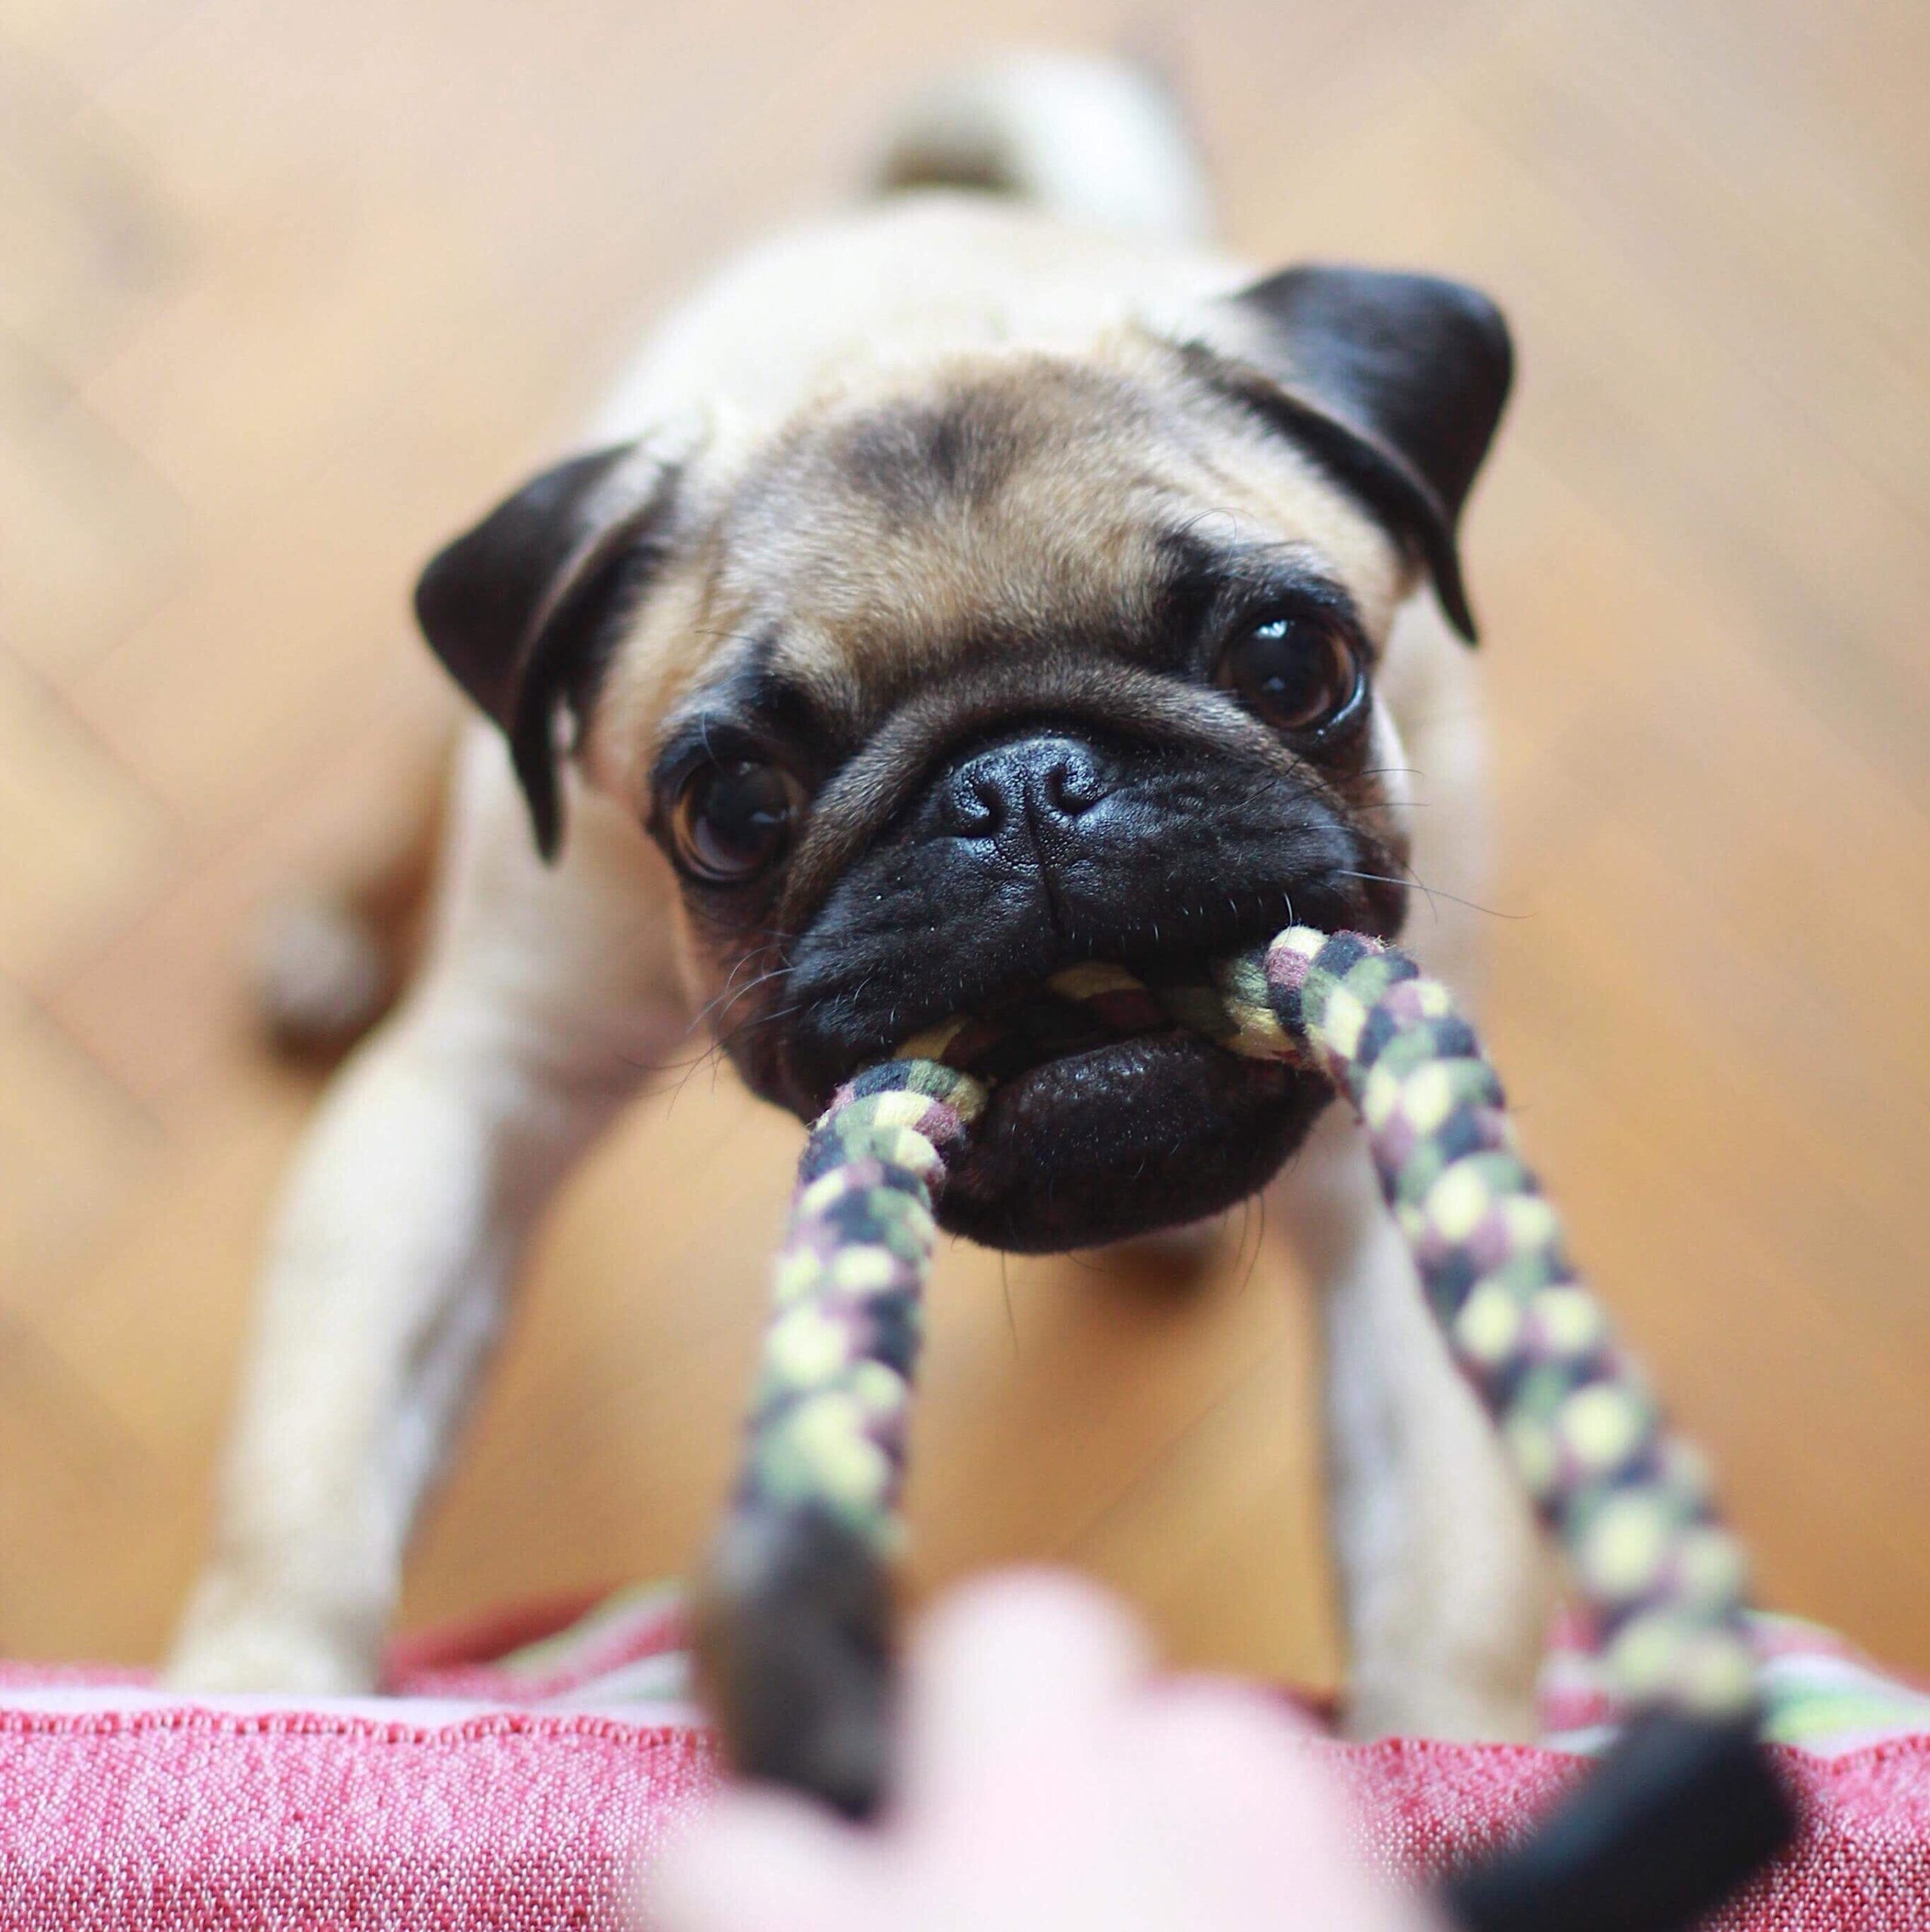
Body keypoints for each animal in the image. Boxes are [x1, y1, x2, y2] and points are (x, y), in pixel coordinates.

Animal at [170, 48, 1553, 1739]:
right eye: (731, 810)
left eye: (1292, 662)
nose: (1020, 784)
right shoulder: (478, 1086)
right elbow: (316, 1461)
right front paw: (253, 1686)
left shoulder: (1389, 1172)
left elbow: (1446, 1544)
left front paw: (1451, 1749)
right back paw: (331, 929)